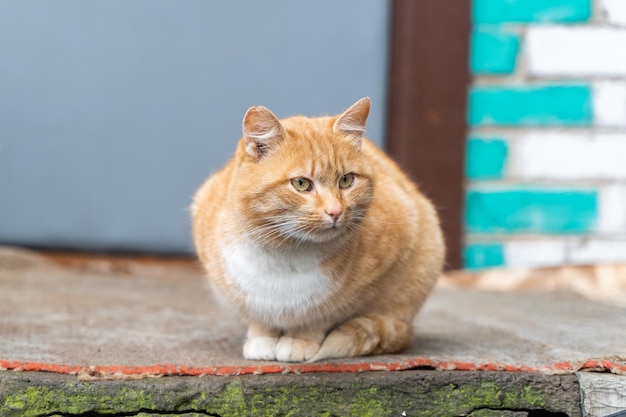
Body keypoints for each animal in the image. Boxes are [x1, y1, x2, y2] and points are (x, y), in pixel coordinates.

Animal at [190, 97, 444, 360]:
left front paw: (300, 340)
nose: (335, 211)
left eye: (346, 180)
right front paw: (261, 338)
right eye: (301, 184)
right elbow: (256, 315)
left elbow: (322, 314)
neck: (285, 253)